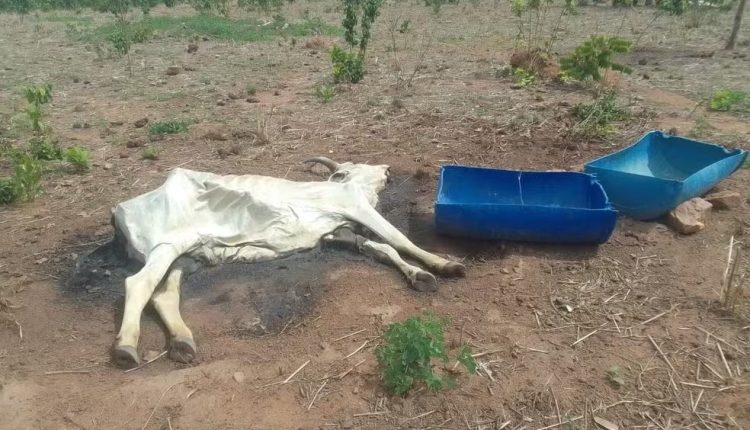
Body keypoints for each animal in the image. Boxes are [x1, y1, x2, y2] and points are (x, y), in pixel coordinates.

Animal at [112, 156, 468, 368]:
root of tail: (119, 210)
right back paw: (126, 347)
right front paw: (443, 264)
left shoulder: (337, 232)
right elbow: (399, 239)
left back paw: (183, 343)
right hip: (166, 246)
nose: (388, 168)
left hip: (188, 256)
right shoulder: (356, 208)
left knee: (163, 294)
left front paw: (419, 274)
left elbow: (383, 249)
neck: (343, 188)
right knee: (138, 283)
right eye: (357, 165)